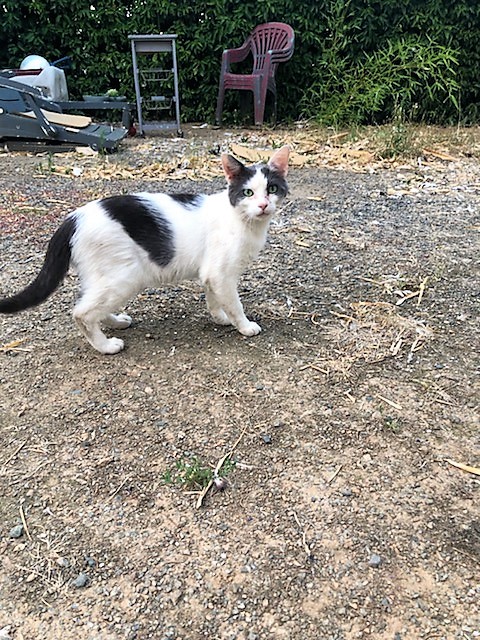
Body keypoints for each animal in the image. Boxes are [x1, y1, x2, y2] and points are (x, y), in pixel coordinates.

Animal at [0, 146, 289, 354]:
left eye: (272, 189)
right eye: (248, 193)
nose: (263, 205)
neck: (243, 221)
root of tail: (73, 217)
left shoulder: (212, 273)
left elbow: (213, 298)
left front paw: (220, 318)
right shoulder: (221, 274)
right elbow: (234, 303)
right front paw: (244, 326)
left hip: (106, 277)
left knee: (91, 304)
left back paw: (116, 321)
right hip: (125, 276)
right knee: (81, 312)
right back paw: (106, 346)